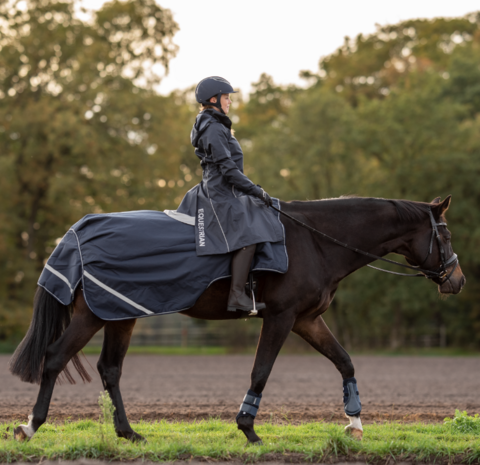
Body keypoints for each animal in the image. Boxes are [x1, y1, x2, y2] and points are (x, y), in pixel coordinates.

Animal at [8, 194, 464, 440]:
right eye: (444, 235)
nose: (457, 281)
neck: (315, 241)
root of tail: (77, 231)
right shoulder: (280, 318)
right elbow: (261, 371)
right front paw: (247, 427)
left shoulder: (306, 320)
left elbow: (345, 361)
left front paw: (354, 423)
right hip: (92, 316)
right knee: (55, 358)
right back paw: (31, 426)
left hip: (120, 315)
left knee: (110, 369)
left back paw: (129, 433)